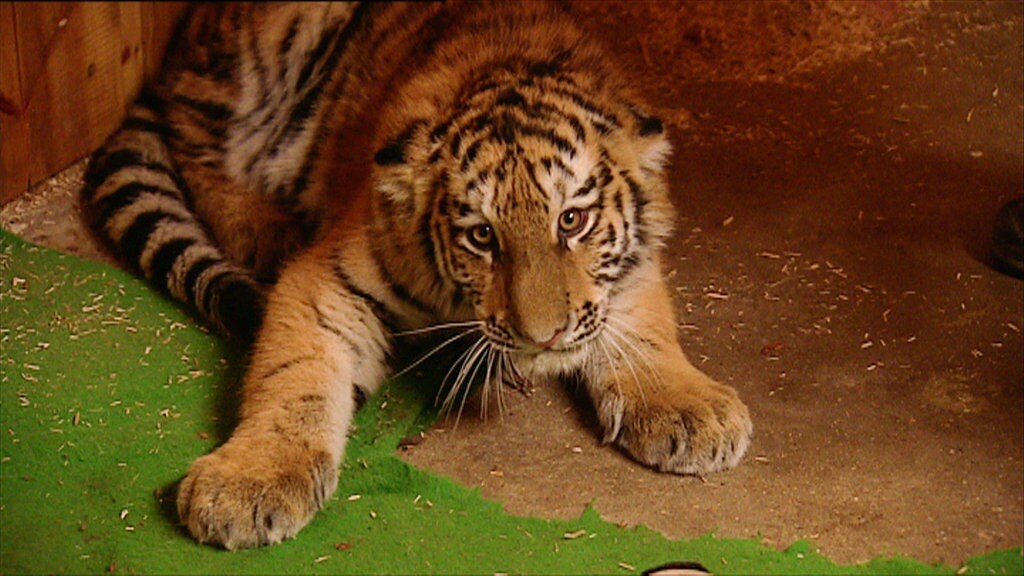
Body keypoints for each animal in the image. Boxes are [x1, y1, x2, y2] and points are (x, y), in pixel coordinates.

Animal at [79, 1, 753, 550]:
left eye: (572, 220)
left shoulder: (628, 269)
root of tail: (185, 46)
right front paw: (249, 484)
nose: (543, 338)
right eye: (482, 236)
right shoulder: (331, 275)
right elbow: (295, 374)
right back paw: (264, 227)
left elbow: (644, 326)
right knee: (195, 152)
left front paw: (689, 412)